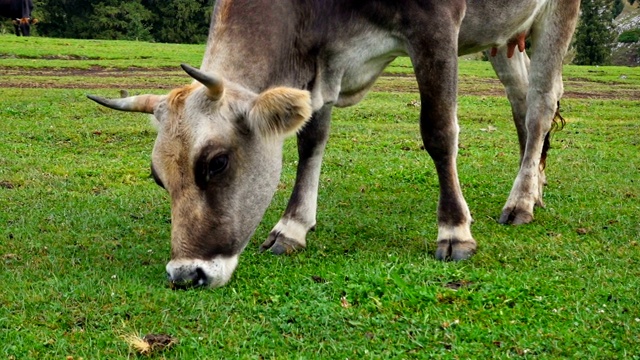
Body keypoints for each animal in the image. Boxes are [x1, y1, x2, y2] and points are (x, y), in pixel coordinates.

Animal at [87, 0, 584, 286]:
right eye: (158, 177)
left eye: (217, 162)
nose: (185, 274)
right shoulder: (322, 57)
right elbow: (311, 140)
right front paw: (291, 227)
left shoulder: (436, 25)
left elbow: (439, 131)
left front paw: (454, 230)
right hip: (505, 35)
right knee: (521, 100)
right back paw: (534, 186)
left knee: (541, 102)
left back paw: (521, 200)